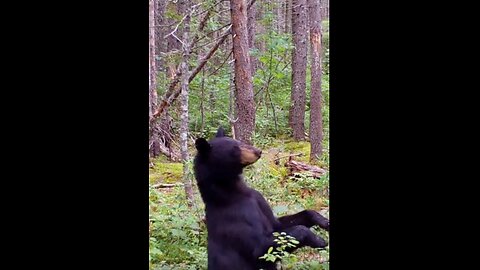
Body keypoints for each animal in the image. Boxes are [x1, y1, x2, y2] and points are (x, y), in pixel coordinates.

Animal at [193, 127, 328, 270]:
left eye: (238, 142)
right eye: (235, 148)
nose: (258, 151)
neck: (234, 193)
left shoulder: (259, 201)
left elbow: (279, 224)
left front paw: (324, 222)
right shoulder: (235, 218)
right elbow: (260, 249)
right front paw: (319, 240)